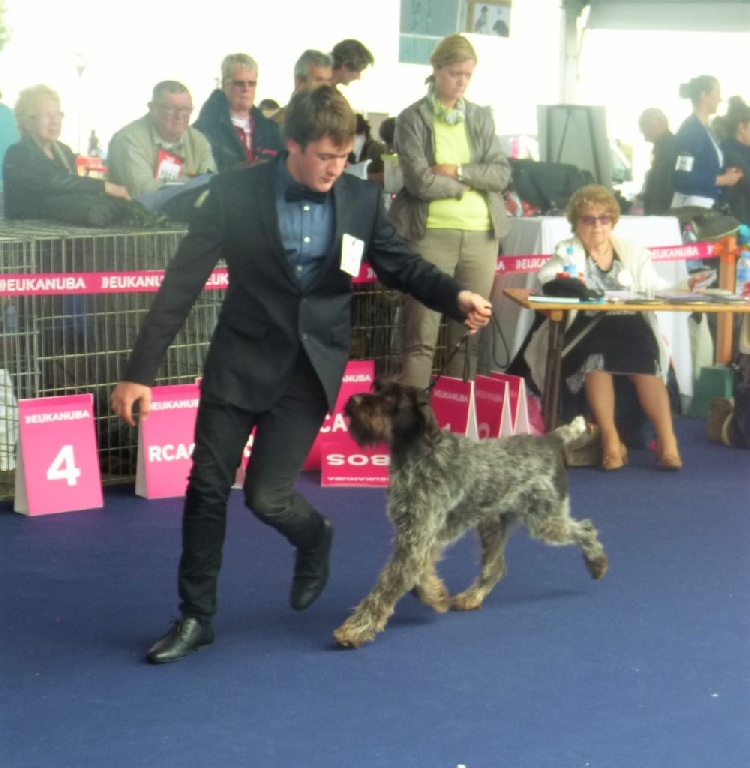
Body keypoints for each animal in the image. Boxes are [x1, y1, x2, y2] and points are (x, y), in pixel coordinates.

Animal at [334, 380, 612, 648]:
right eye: (377, 388)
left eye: (392, 398)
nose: (353, 400)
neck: (418, 452)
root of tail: (549, 439)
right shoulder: (418, 536)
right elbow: (418, 578)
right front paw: (436, 595)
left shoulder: (416, 538)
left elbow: (386, 589)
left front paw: (355, 629)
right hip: (493, 524)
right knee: (496, 567)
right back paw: (471, 596)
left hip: (545, 521)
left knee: (586, 530)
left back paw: (596, 563)